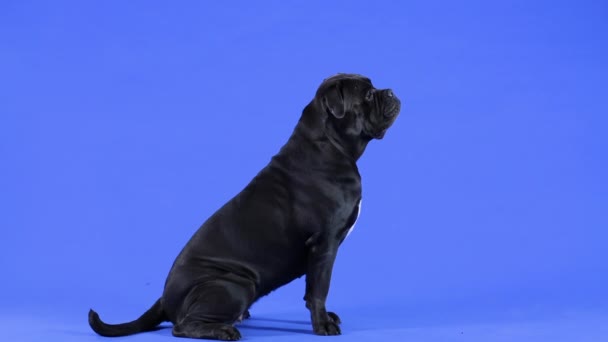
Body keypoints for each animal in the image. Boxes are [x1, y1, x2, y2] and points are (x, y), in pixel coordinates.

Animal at [88, 73, 402, 340]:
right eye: (368, 94)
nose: (390, 91)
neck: (329, 144)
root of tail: (164, 300)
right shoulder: (324, 244)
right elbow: (319, 290)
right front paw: (323, 325)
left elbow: (311, 290)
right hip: (234, 285)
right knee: (182, 326)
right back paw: (224, 331)